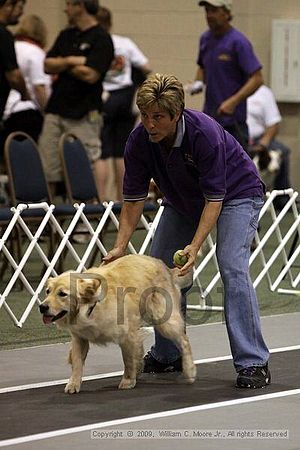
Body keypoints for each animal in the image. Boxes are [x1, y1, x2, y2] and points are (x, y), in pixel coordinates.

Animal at [39, 255, 197, 392]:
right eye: (47, 291)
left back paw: (189, 370)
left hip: (164, 320)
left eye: (62, 294)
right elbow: (77, 362)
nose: (42, 307)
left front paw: (127, 380)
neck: (90, 306)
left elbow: (127, 360)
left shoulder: (126, 335)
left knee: (184, 341)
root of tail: (166, 268)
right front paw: (73, 384)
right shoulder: (79, 338)